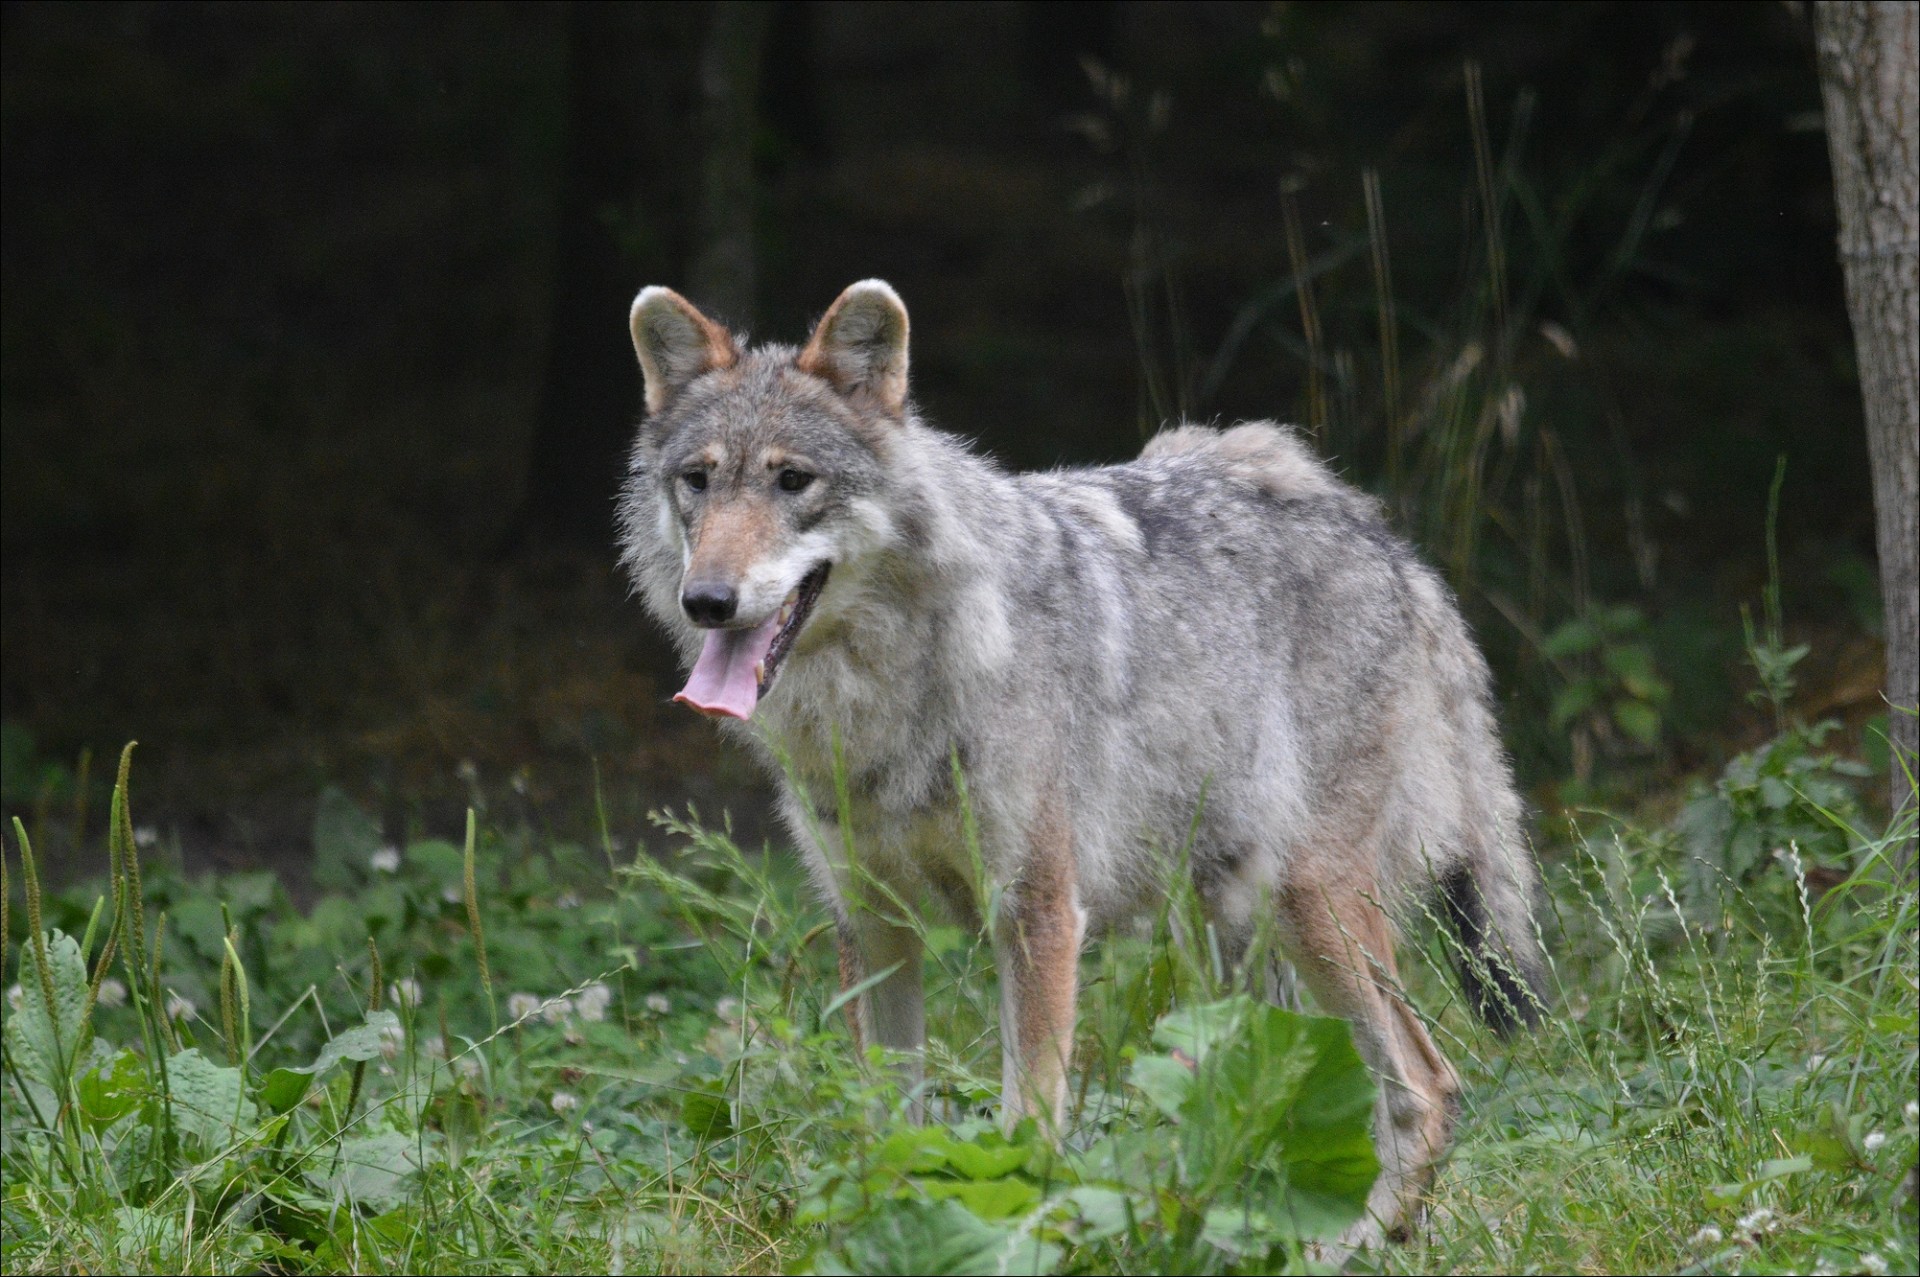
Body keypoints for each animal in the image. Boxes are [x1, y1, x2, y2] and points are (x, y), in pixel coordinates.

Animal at [614, 276, 1543, 1236]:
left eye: (793, 480)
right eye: (698, 481)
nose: (707, 600)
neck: (890, 694)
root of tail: (1390, 545)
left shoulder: (1039, 913)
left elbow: (1026, 1127)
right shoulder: (873, 923)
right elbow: (886, 1129)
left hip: (1311, 904)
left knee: (1428, 1084)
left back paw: (1355, 1243)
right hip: (1228, 935)